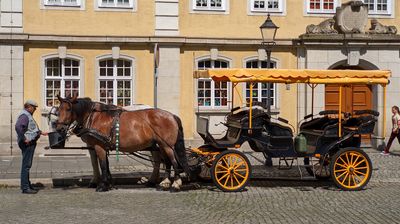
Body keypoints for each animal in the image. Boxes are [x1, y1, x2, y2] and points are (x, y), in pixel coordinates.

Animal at [55, 95, 191, 192]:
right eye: (58, 110)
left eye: (68, 109)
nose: (60, 129)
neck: (93, 116)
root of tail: (171, 115)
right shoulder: (101, 145)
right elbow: (104, 164)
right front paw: (108, 183)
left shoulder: (98, 146)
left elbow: (102, 164)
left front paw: (102, 185)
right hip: (161, 145)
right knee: (167, 162)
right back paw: (164, 183)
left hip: (167, 145)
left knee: (173, 162)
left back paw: (175, 184)